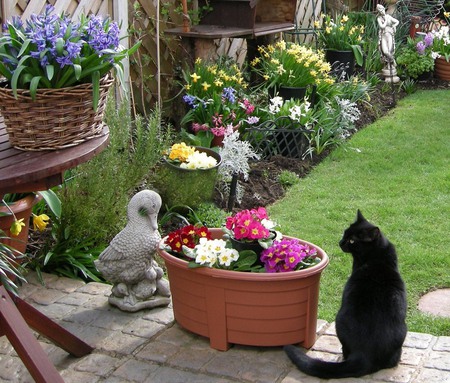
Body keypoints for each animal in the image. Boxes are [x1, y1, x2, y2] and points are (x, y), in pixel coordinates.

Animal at [284, 212, 408, 380]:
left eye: (352, 240)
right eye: (345, 233)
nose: (340, 242)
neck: (377, 257)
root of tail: (364, 355)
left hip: (340, 320)